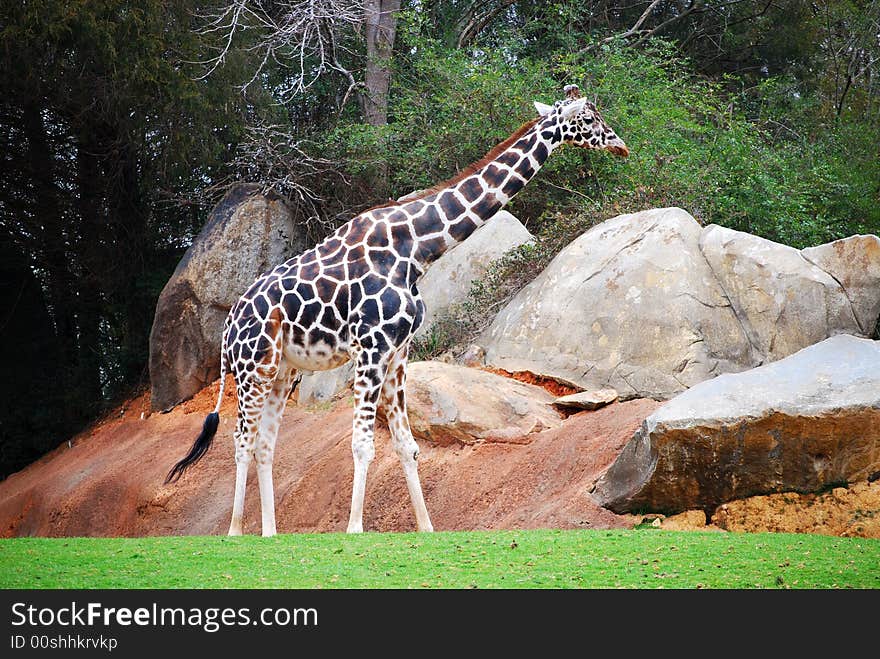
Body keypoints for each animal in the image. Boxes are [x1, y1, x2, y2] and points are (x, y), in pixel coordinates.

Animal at [165, 84, 628, 536]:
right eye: (589, 117)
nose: (621, 145)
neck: (416, 249)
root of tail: (228, 327)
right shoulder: (371, 347)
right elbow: (362, 443)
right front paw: (354, 529)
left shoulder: (397, 351)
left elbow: (407, 445)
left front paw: (425, 527)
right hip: (252, 368)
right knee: (241, 440)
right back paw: (235, 533)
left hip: (284, 370)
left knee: (264, 443)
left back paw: (270, 533)